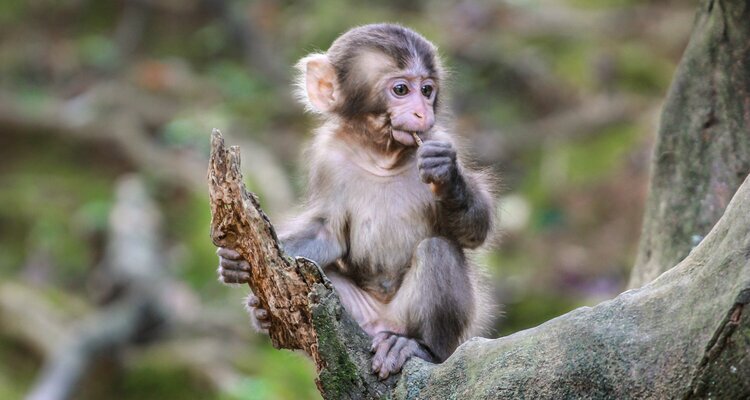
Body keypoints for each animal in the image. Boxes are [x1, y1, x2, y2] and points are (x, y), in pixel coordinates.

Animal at [217, 23, 496, 380]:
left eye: (427, 90)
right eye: (401, 89)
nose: (422, 112)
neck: (380, 155)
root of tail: (383, 323)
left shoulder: (437, 138)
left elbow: (475, 231)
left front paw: (447, 174)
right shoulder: (329, 157)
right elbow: (328, 235)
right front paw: (234, 262)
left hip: (414, 324)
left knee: (438, 251)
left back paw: (417, 347)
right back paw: (263, 314)